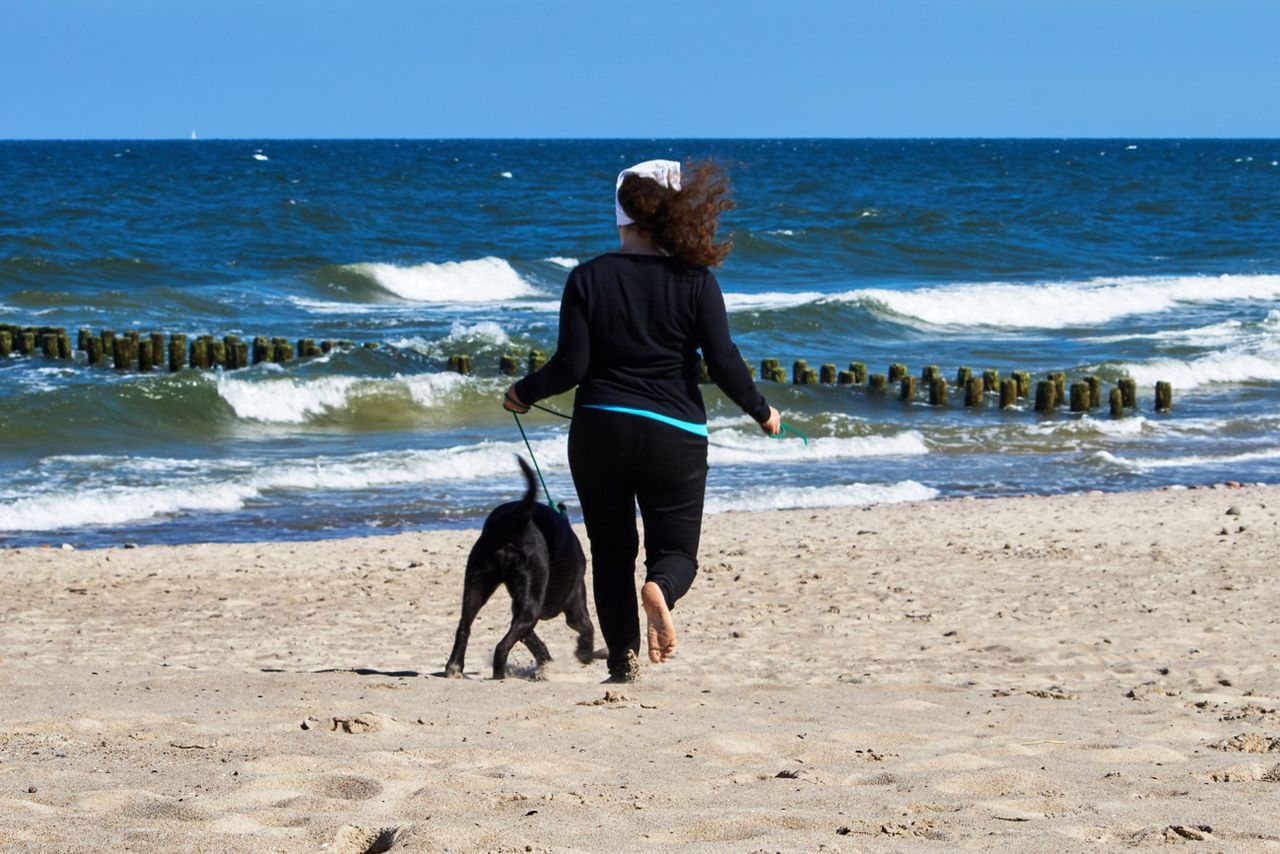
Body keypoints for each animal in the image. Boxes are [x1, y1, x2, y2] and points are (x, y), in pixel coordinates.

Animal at [445, 458, 593, 676]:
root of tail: (513, 520)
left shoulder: (518, 607)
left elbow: (533, 640)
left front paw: (546, 662)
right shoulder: (575, 604)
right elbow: (586, 626)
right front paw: (585, 653)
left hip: (477, 586)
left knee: (465, 625)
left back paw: (454, 666)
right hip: (531, 602)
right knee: (501, 646)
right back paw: (500, 675)